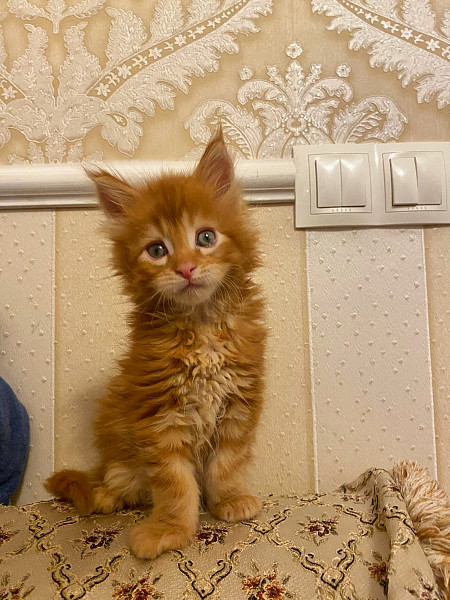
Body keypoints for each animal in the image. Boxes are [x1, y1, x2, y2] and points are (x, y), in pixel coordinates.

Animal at [45, 130, 267, 559]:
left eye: (206, 237)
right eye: (157, 250)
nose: (185, 268)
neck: (201, 329)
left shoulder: (238, 402)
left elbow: (227, 462)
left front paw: (229, 499)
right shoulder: (158, 413)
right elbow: (175, 484)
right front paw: (171, 529)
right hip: (119, 456)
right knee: (113, 485)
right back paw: (105, 496)